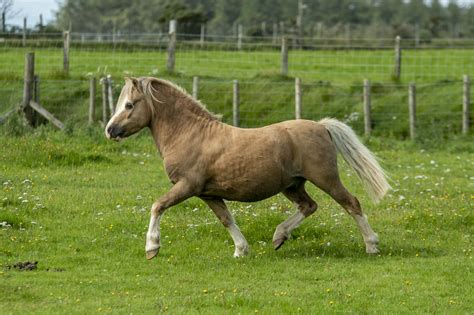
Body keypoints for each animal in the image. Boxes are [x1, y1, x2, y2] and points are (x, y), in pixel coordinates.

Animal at [105, 78, 390, 260]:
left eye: (129, 104)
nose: (109, 130)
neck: (191, 134)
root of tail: (321, 126)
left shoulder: (188, 186)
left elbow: (157, 205)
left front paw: (152, 248)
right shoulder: (209, 194)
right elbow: (226, 220)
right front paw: (241, 250)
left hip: (326, 178)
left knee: (351, 203)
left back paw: (372, 246)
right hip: (292, 185)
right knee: (309, 206)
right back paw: (279, 237)